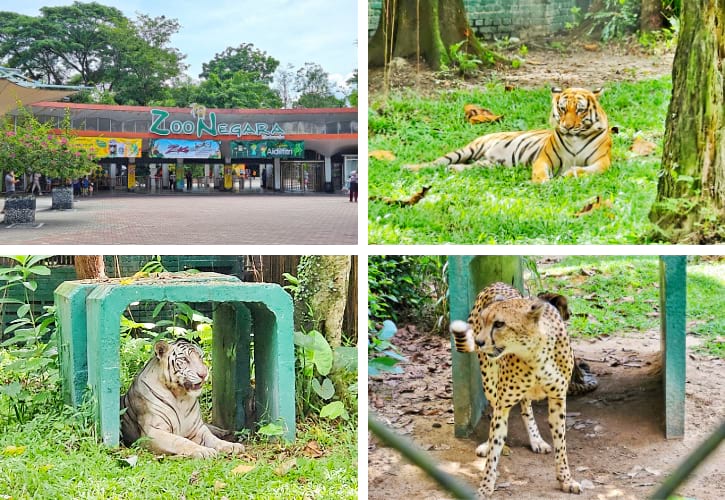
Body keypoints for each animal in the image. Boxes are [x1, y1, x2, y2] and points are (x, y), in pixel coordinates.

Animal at [404, 87, 608, 183]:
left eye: (580, 110)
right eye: (562, 109)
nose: (567, 126)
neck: (575, 138)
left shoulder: (603, 162)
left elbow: (584, 170)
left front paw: (568, 174)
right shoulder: (543, 159)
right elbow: (540, 171)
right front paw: (542, 182)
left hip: (488, 165)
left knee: (467, 166)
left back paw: (454, 169)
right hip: (469, 149)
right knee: (437, 162)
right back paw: (409, 167)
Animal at [450, 282, 580, 496]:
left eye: (499, 324)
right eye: (485, 321)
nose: (479, 342)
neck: (535, 354)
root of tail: (496, 284)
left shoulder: (558, 400)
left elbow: (561, 444)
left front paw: (566, 479)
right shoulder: (502, 404)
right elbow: (494, 447)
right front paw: (485, 486)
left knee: (526, 407)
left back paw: (536, 440)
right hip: (489, 381)